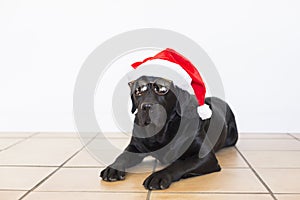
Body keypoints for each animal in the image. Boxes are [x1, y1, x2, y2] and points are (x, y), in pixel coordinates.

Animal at [99, 76, 238, 190]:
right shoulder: (135, 146)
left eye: (162, 90)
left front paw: (158, 176)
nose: (147, 106)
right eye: (139, 91)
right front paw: (112, 169)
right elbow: (122, 156)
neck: (160, 134)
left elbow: (181, 164)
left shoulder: (204, 155)